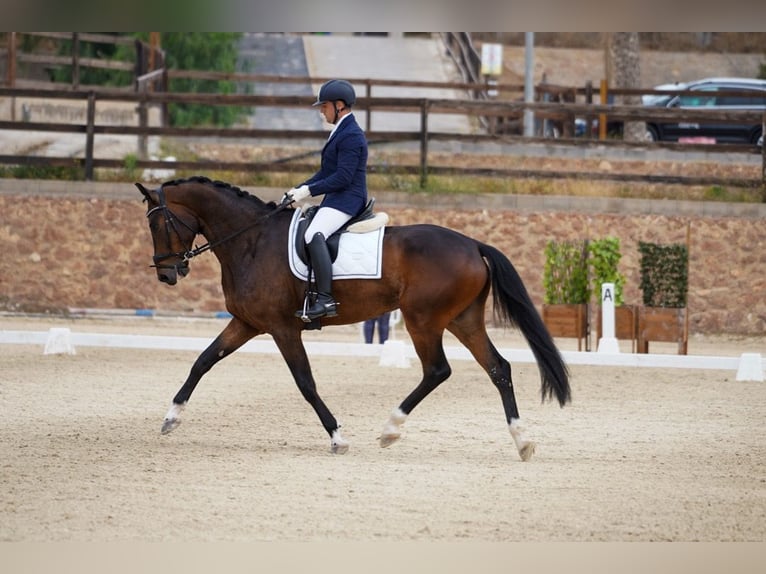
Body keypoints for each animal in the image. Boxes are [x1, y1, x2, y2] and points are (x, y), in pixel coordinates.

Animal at [136, 176, 568, 464]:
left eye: (158, 223)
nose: (167, 274)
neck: (251, 241)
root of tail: (473, 244)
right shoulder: (247, 323)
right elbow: (203, 361)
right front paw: (171, 418)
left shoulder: (282, 328)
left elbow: (305, 383)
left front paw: (337, 437)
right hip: (462, 319)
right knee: (498, 368)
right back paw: (522, 441)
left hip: (423, 319)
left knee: (437, 370)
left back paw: (391, 429)